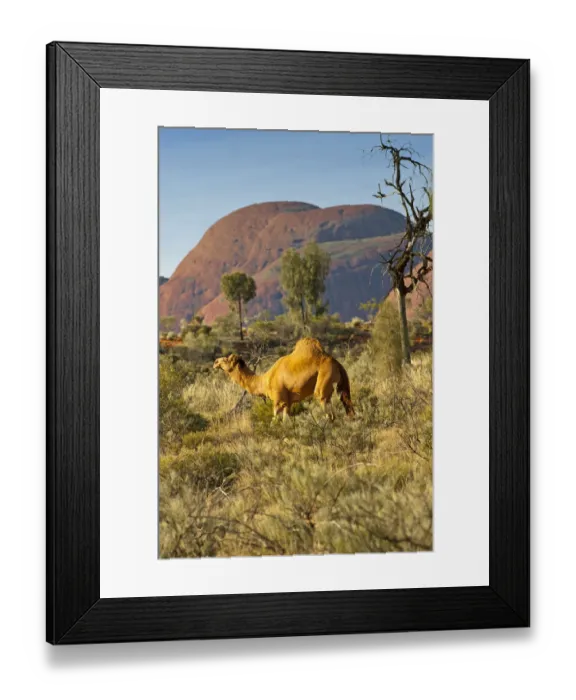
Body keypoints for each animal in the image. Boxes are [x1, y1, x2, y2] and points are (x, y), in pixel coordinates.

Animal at [213, 337, 355, 422]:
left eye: (226, 360)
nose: (215, 362)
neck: (265, 381)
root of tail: (337, 363)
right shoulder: (288, 402)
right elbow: (287, 421)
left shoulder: (279, 400)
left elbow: (275, 420)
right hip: (341, 384)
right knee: (345, 403)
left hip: (324, 379)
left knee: (327, 409)